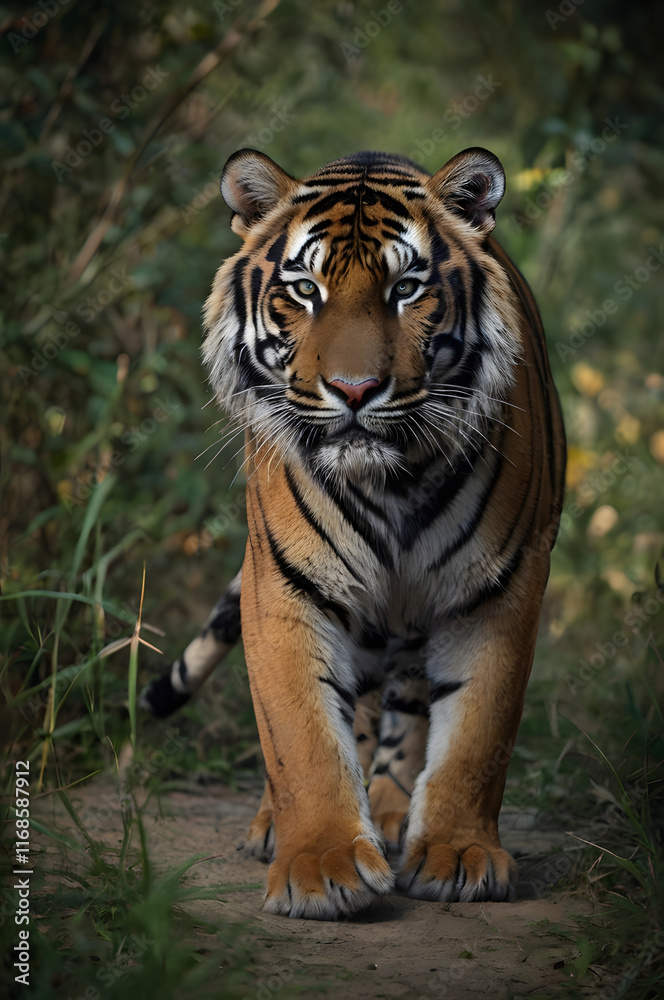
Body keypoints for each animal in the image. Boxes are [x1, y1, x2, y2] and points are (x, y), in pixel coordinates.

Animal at [142, 146, 566, 920]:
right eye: (305, 289)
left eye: (407, 288)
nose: (355, 389)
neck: (392, 483)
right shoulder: (286, 586)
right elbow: (302, 735)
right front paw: (323, 867)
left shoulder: (497, 589)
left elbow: (477, 734)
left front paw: (457, 854)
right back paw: (285, 825)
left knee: (406, 708)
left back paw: (395, 812)